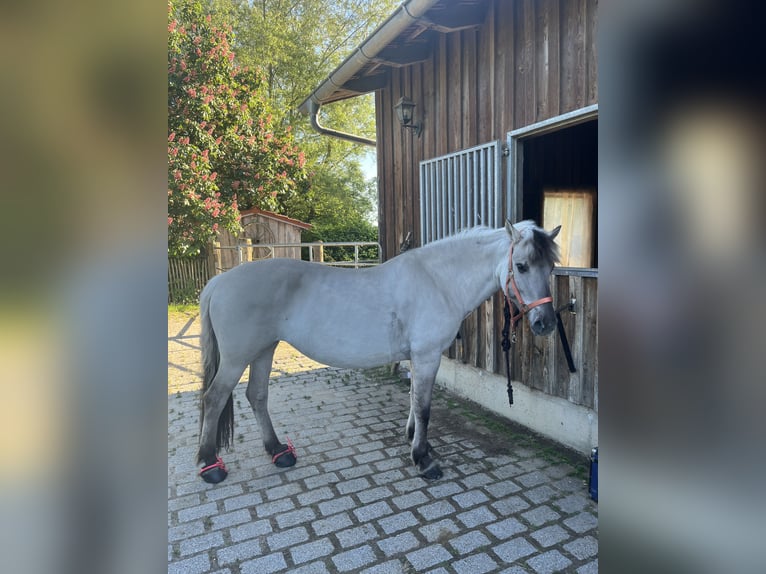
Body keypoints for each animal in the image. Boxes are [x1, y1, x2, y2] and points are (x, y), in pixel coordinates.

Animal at [196, 219, 561, 483]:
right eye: (522, 266)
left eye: (552, 268)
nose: (545, 323)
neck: (439, 281)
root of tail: (219, 282)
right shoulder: (427, 356)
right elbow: (424, 407)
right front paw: (423, 460)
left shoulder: (419, 358)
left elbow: (414, 399)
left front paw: (414, 439)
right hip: (237, 358)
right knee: (214, 398)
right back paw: (210, 464)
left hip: (264, 350)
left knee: (256, 396)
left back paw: (278, 452)